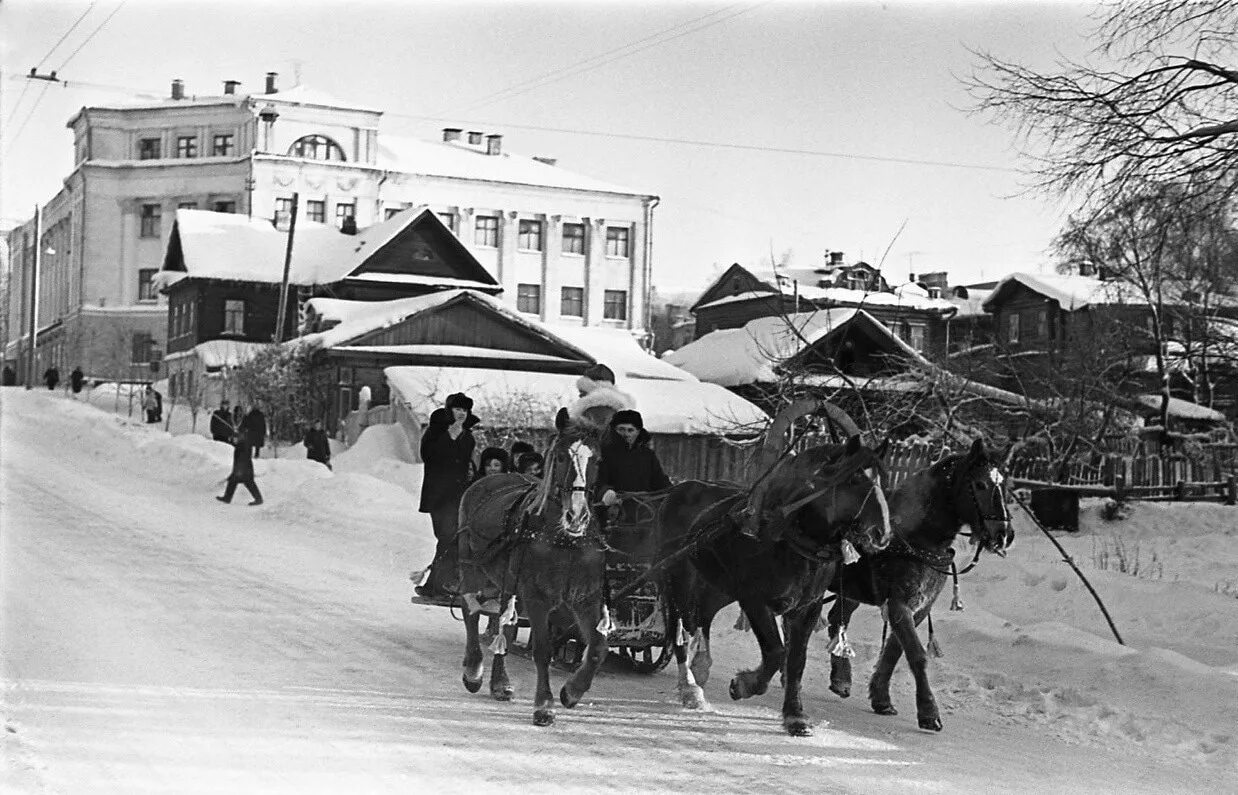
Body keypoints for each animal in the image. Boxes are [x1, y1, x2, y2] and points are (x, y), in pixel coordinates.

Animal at [455, 408, 609, 723]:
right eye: (561, 456)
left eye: (597, 459)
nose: (577, 515)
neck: (565, 540)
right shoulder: (537, 596)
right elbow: (542, 650)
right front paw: (544, 705)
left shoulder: (586, 597)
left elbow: (598, 648)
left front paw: (572, 691)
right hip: (473, 568)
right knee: (471, 610)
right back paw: (474, 670)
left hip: (506, 582)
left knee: (503, 623)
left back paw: (500, 683)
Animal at [653, 430, 896, 733]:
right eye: (853, 479)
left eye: (883, 479)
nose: (882, 533)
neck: (787, 535)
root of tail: (678, 490)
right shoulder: (756, 600)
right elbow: (776, 652)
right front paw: (743, 685)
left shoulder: (806, 608)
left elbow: (796, 661)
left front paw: (795, 715)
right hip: (678, 579)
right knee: (681, 628)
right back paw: (690, 687)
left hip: (717, 588)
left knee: (702, 617)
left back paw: (701, 668)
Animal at [822, 435, 1015, 728]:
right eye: (980, 484)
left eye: (1004, 485)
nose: (1004, 535)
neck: (915, 536)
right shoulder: (899, 603)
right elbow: (917, 654)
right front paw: (928, 711)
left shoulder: (918, 608)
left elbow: (894, 652)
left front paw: (881, 698)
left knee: (836, 619)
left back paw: (841, 678)